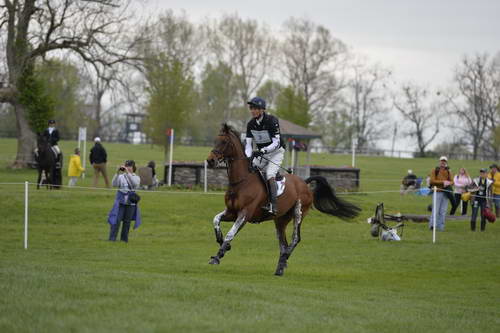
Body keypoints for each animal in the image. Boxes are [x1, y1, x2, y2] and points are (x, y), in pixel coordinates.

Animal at [205, 124, 362, 274]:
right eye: (215, 141)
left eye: (224, 142)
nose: (210, 160)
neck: (242, 181)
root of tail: (304, 183)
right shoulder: (231, 212)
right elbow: (216, 220)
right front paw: (222, 243)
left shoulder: (245, 214)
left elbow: (231, 233)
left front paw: (218, 256)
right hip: (280, 220)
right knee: (283, 244)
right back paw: (280, 266)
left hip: (298, 212)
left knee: (295, 239)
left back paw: (284, 259)